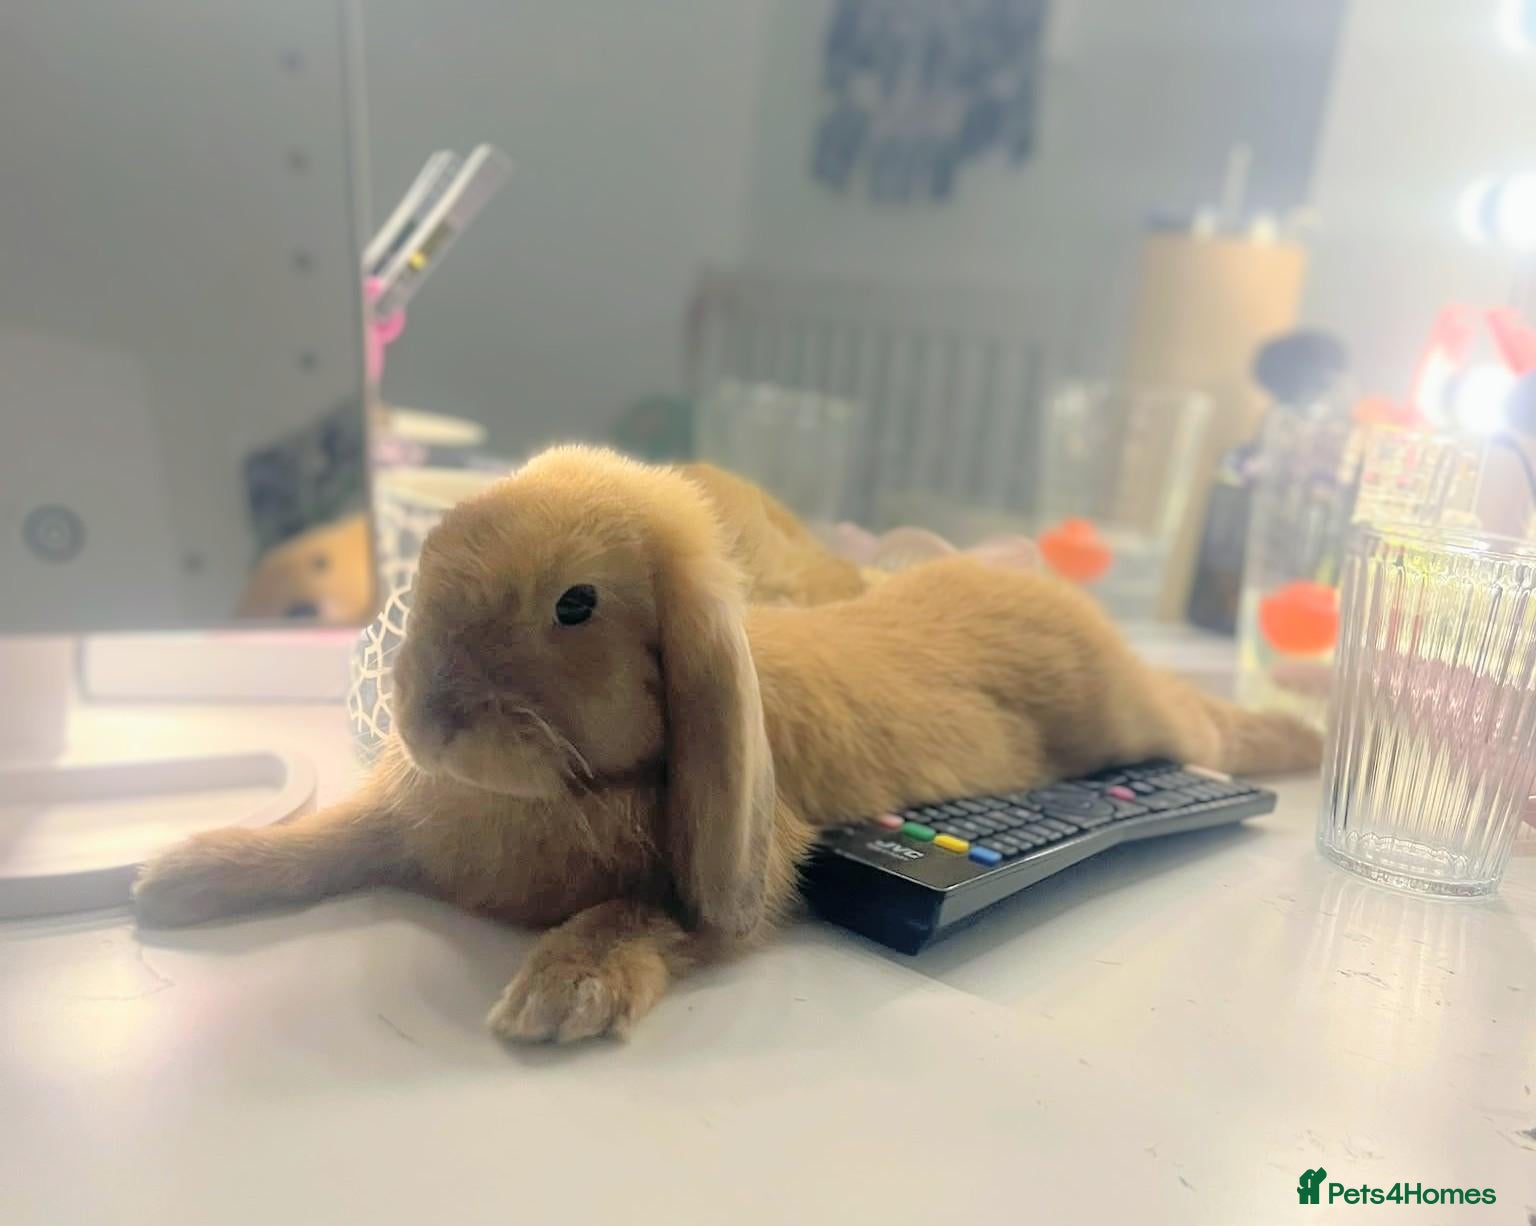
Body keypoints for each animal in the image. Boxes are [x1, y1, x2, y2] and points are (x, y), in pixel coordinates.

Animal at [134, 445, 1321, 1043]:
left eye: (575, 603)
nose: (426, 717)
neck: (549, 789)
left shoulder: (732, 867)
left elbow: (654, 912)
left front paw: (564, 989)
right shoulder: (395, 826)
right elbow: (323, 842)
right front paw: (184, 874)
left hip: (1131, 716)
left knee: (1202, 721)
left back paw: (1300, 736)